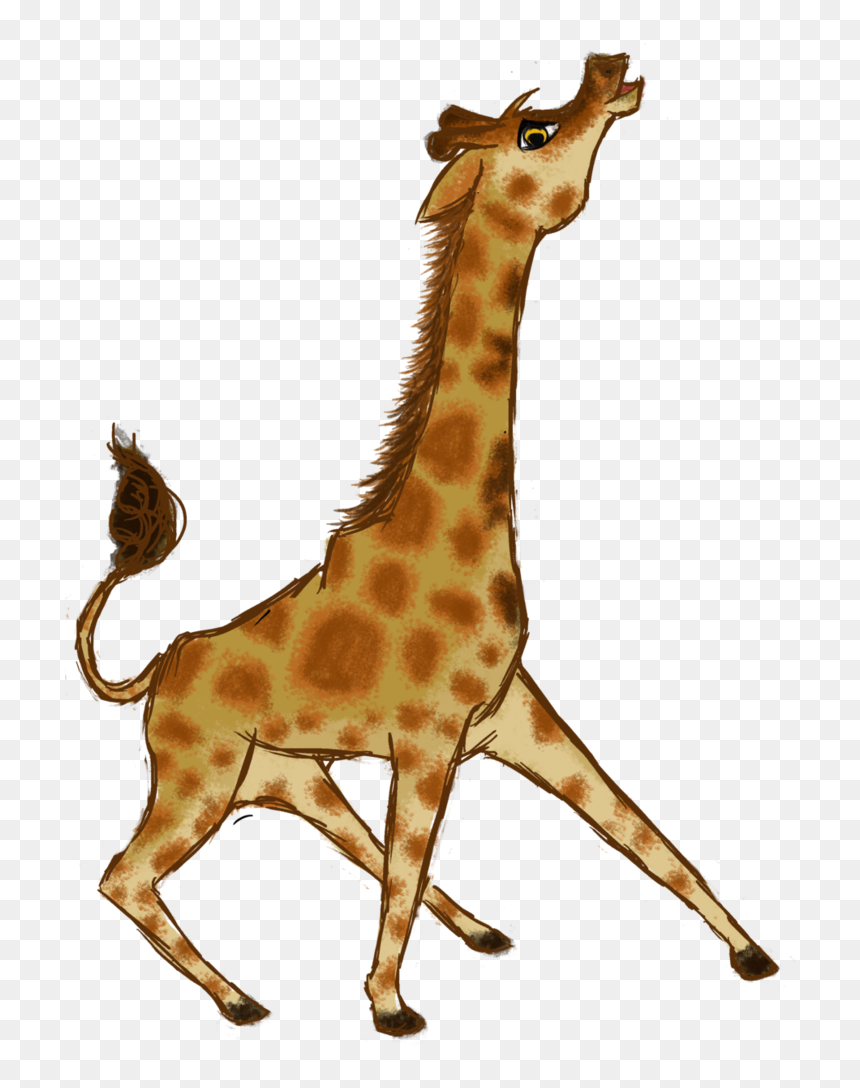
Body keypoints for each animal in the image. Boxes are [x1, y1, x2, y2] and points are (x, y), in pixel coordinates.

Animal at [76, 53, 778, 1037]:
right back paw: (243, 1000)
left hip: (288, 780)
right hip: (200, 777)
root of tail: (154, 671)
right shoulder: (428, 735)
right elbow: (415, 860)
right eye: (535, 131)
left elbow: (644, 834)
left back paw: (476, 933)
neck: (458, 534)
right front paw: (389, 1007)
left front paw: (752, 953)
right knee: (124, 875)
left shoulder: (513, 716)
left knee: (356, 850)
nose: (611, 70)